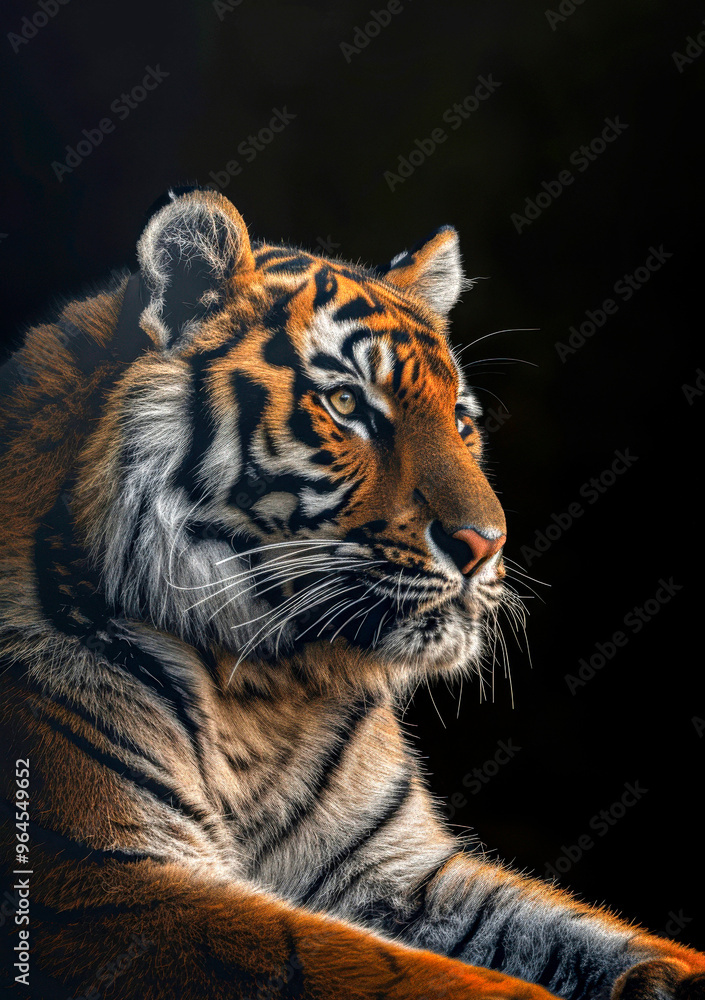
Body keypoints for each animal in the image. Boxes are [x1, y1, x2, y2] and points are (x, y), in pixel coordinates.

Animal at [0, 186, 702, 1000]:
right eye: (345, 403)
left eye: (461, 420)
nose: (486, 545)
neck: (266, 687)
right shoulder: (104, 877)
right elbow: (397, 973)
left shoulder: (394, 873)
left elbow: (577, 932)